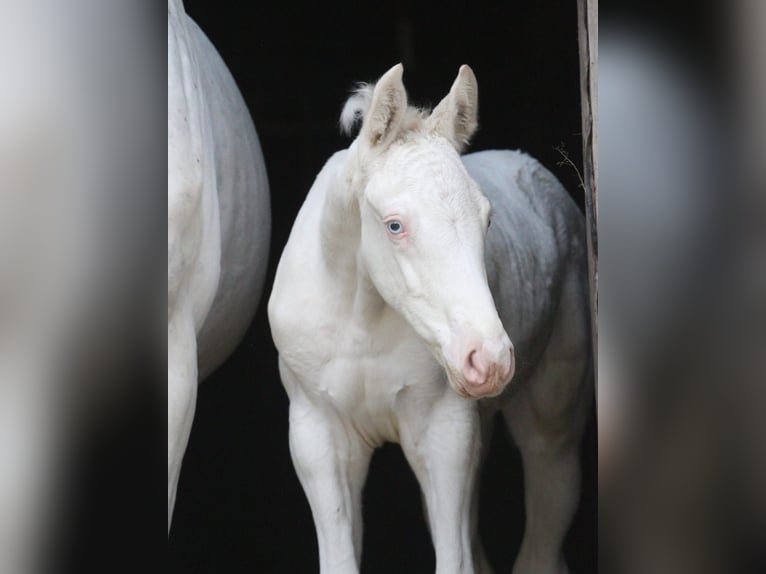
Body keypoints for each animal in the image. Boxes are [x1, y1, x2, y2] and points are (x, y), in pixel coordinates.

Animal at [270, 64, 592, 574]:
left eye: (487, 219)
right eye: (394, 225)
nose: (490, 358)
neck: (361, 320)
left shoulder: (445, 431)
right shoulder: (317, 435)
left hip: (551, 424)